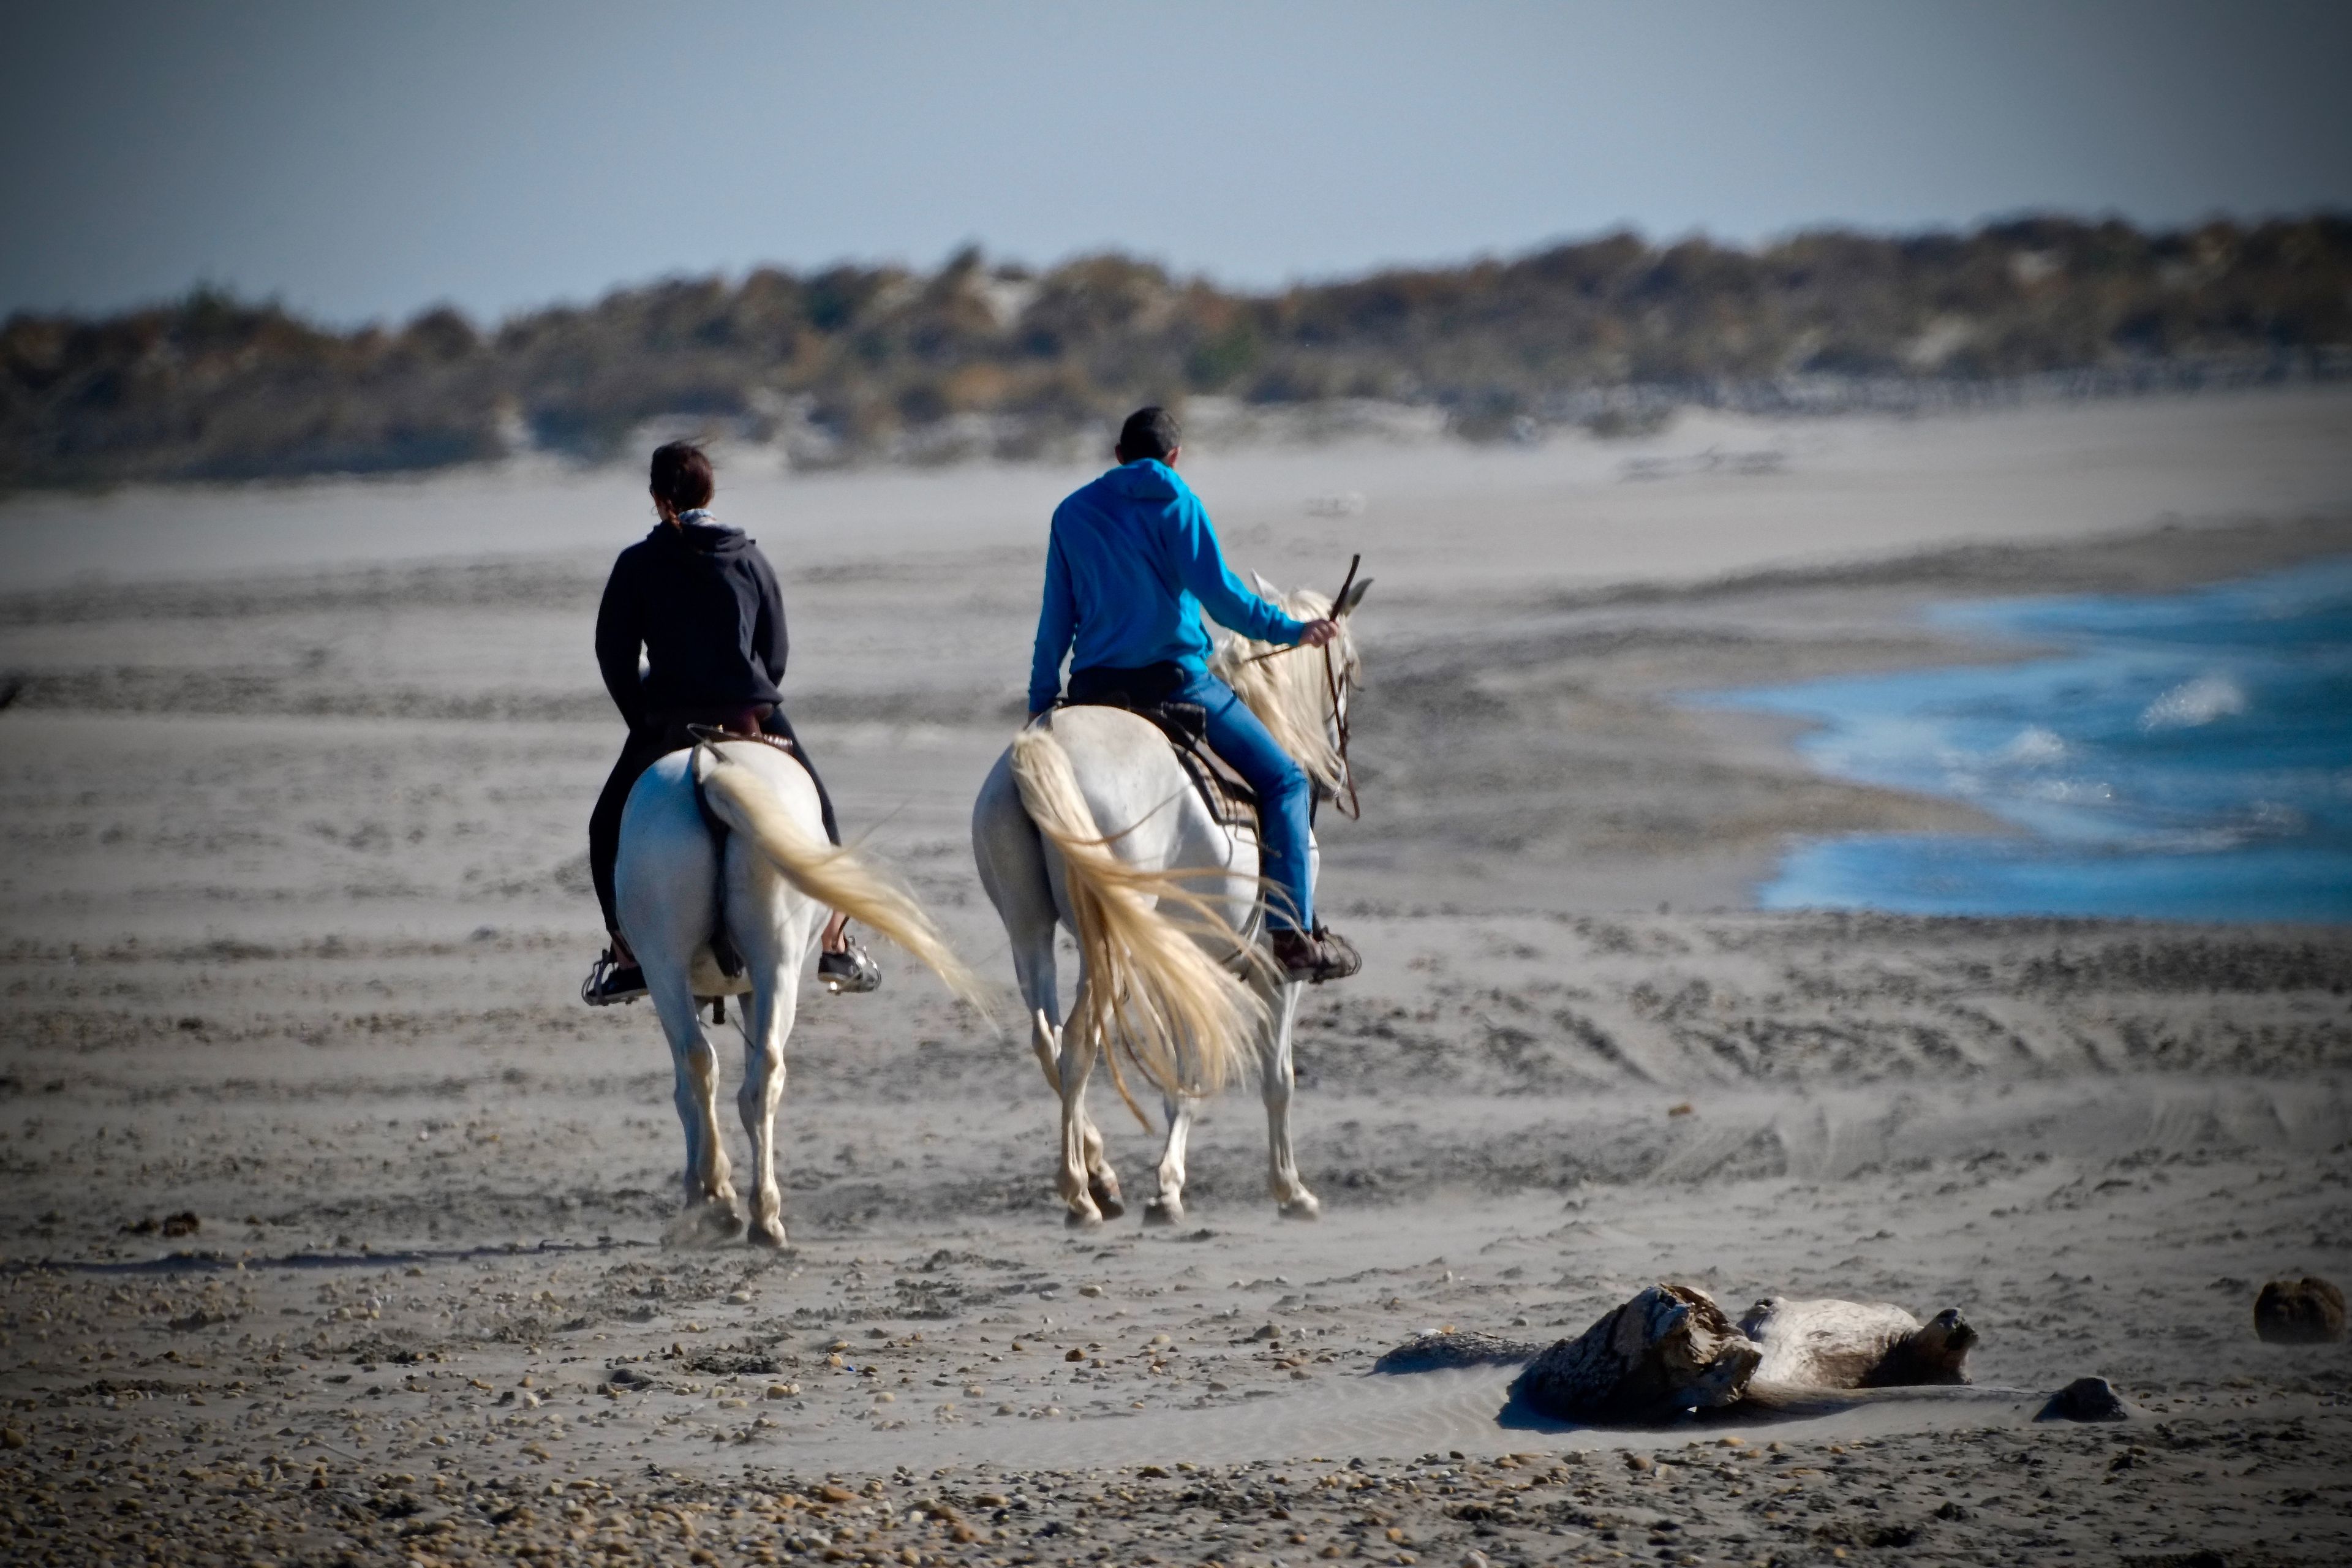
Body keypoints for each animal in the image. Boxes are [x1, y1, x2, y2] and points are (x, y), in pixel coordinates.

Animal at [614, 735, 986, 1247]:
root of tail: (705, 770)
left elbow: (687, 1090)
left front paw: (702, 1190)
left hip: (691, 966)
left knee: (709, 1065)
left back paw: (731, 1204)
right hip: (748, 965)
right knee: (752, 1071)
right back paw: (757, 1212)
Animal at [970, 577, 1370, 1228]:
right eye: (1350, 671)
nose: (1335, 771)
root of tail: (1045, 747)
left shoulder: (1182, 957)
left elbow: (1181, 1077)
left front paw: (1167, 1188)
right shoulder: (1275, 968)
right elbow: (1276, 1077)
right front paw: (1290, 1190)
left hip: (1028, 931)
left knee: (1047, 1041)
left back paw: (1102, 1177)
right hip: (1106, 945)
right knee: (1078, 1042)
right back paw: (1079, 1193)